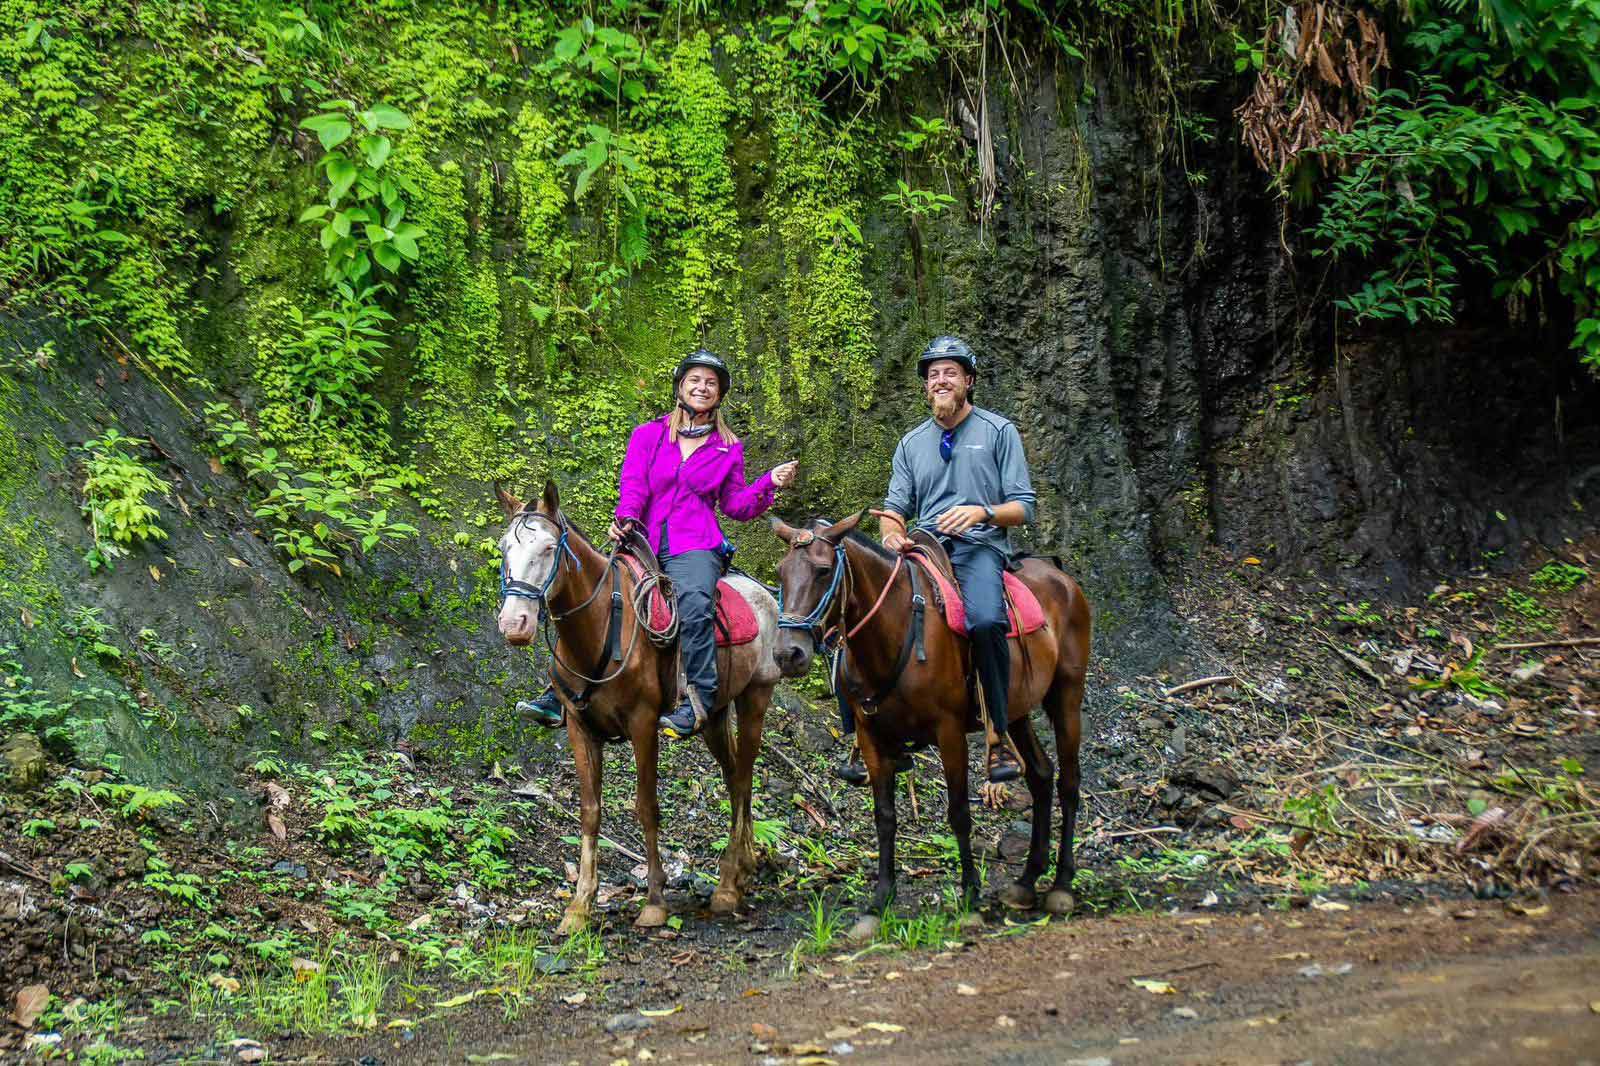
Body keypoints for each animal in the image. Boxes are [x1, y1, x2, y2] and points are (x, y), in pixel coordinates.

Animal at [492, 480, 780, 928]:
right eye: (505, 547)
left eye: (548, 548)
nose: (514, 623)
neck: (600, 626)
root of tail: (762, 594)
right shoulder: (579, 728)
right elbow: (590, 811)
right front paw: (580, 905)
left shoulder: (644, 724)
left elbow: (647, 807)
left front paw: (655, 901)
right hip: (714, 715)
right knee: (734, 777)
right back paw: (742, 869)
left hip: (755, 698)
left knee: (746, 777)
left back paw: (728, 887)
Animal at [771, 512, 1094, 921]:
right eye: (781, 572)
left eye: (823, 571)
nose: (788, 654)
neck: (895, 631)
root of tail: (1061, 577)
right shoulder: (870, 735)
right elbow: (885, 816)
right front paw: (882, 897)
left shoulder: (949, 731)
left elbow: (958, 812)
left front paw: (970, 894)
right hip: (1016, 709)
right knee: (1040, 775)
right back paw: (1026, 881)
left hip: (1066, 694)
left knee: (1069, 782)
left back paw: (1062, 884)